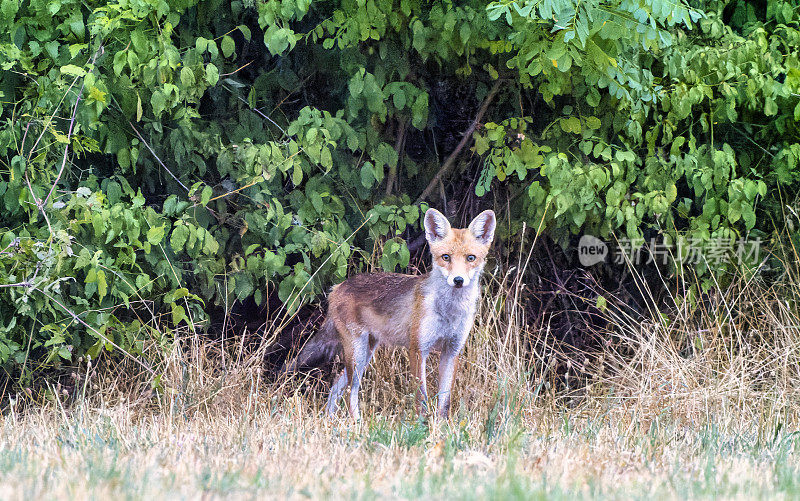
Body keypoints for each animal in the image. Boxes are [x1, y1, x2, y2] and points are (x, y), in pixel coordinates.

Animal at [280, 207, 494, 418]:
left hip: (366, 352)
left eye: (471, 258)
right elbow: (421, 400)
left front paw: (441, 426)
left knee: (336, 387)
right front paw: (422, 426)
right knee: (350, 391)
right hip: (357, 354)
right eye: (446, 257)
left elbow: (444, 403)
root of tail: (338, 287)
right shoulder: (418, 349)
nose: (458, 280)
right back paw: (356, 423)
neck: (450, 312)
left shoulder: (452, 350)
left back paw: (332, 421)